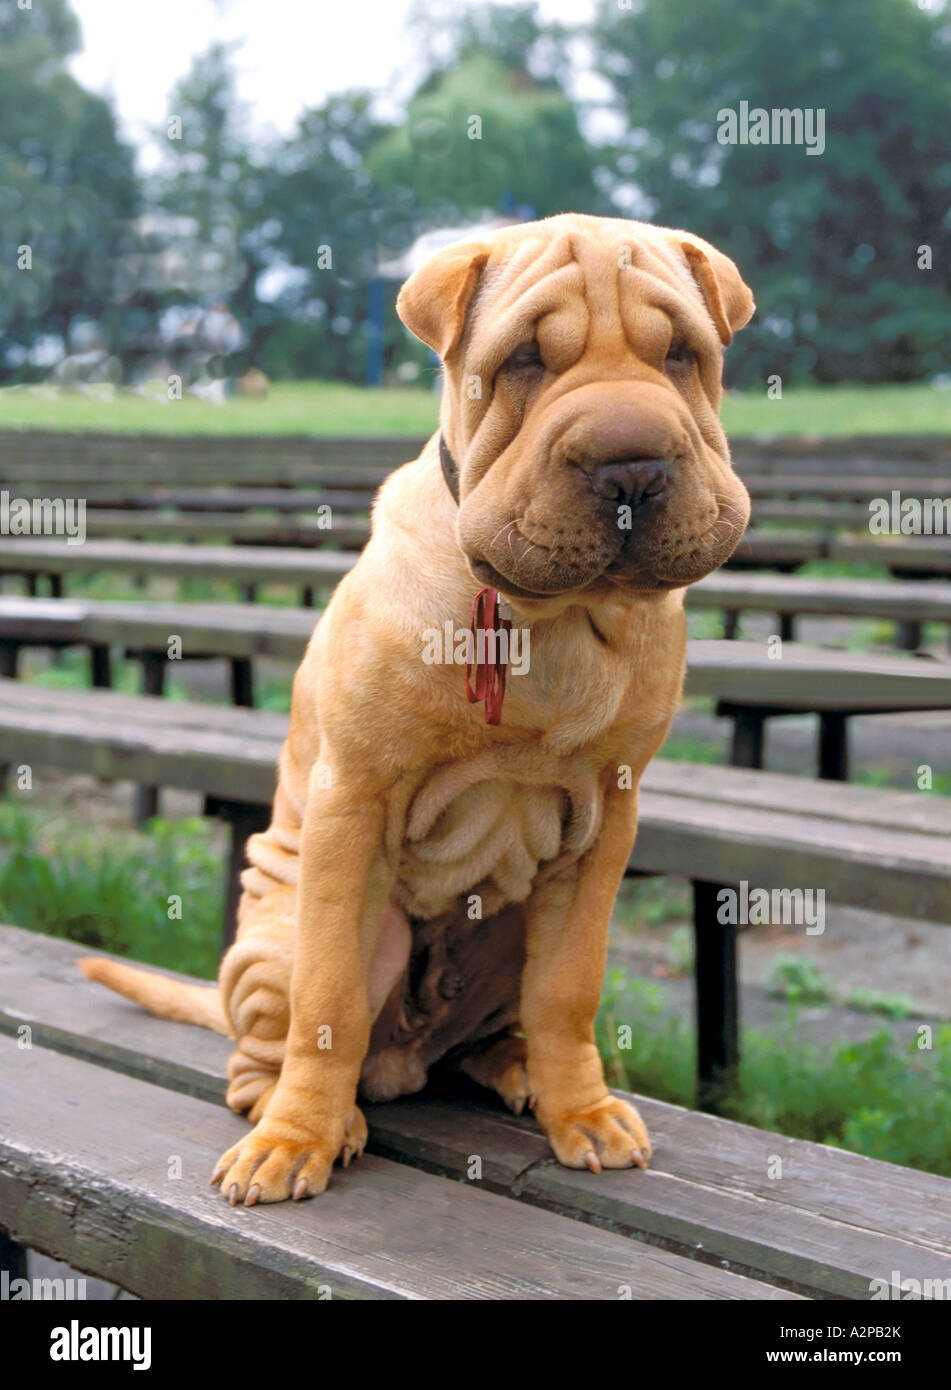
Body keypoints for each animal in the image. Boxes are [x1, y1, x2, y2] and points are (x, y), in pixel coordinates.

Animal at [81, 211, 756, 1200]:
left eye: (680, 353)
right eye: (523, 359)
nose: (628, 464)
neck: (547, 618)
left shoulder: (608, 823)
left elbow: (568, 989)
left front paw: (581, 1111)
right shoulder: (353, 804)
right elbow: (327, 1003)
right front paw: (298, 1138)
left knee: (509, 1020)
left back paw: (515, 1069)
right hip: (277, 940)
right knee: (276, 1044)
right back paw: (295, 1112)